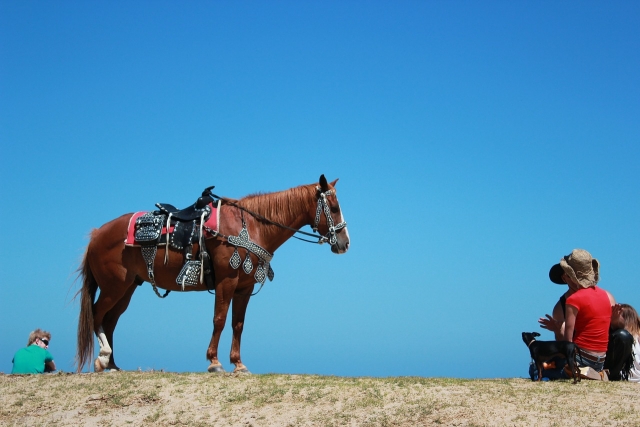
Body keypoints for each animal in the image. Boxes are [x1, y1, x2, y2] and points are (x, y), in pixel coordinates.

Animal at [75, 175, 350, 373]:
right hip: (113, 287)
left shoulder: (244, 288)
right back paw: (102, 359)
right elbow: (219, 319)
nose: (345, 243)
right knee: (97, 315)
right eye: (334, 207)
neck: (250, 226)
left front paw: (238, 364)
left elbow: (238, 324)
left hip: (127, 288)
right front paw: (214, 362)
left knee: (111, 320)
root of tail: (97, 234)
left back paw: (112, 364)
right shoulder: (226, 282)